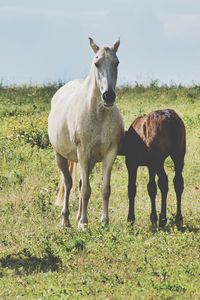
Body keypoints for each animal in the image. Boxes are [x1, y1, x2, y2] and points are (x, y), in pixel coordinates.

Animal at [47, 37, 124, 230]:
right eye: (96, 63)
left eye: (117, 62)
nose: (108, 96)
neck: (99, 114)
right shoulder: (83, 152)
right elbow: (86, 190)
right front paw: (83, 224)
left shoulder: (110, 153)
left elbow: (104, 188)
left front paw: (104, 221)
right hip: (60, 156)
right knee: (69, 183)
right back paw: (66, 220)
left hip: (88, 161)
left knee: (81, 182)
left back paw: (76, 217)